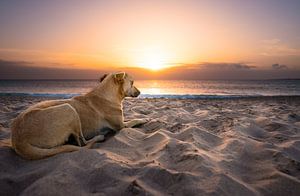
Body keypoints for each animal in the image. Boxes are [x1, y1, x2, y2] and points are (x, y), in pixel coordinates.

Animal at [11, 72, 148, 159]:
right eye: (132, 83)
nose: (141, 92)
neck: (108, 94)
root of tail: (17, 140)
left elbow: (131, 118)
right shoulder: (121, 126)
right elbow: (134, 120)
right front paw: (144, 118)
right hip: (69, 109)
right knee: (82, 143)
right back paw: (99, 137)